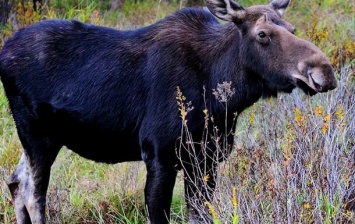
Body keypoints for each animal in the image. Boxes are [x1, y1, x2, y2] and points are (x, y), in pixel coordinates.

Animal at [0, 0, 338, 222]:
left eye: (292, 28)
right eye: (263, 34)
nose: (324, 71)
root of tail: (4, 52)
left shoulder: (206, 158)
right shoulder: (159, 155)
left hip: (44, 139)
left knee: (16, 182)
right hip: (37, 135)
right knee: (34, 194)